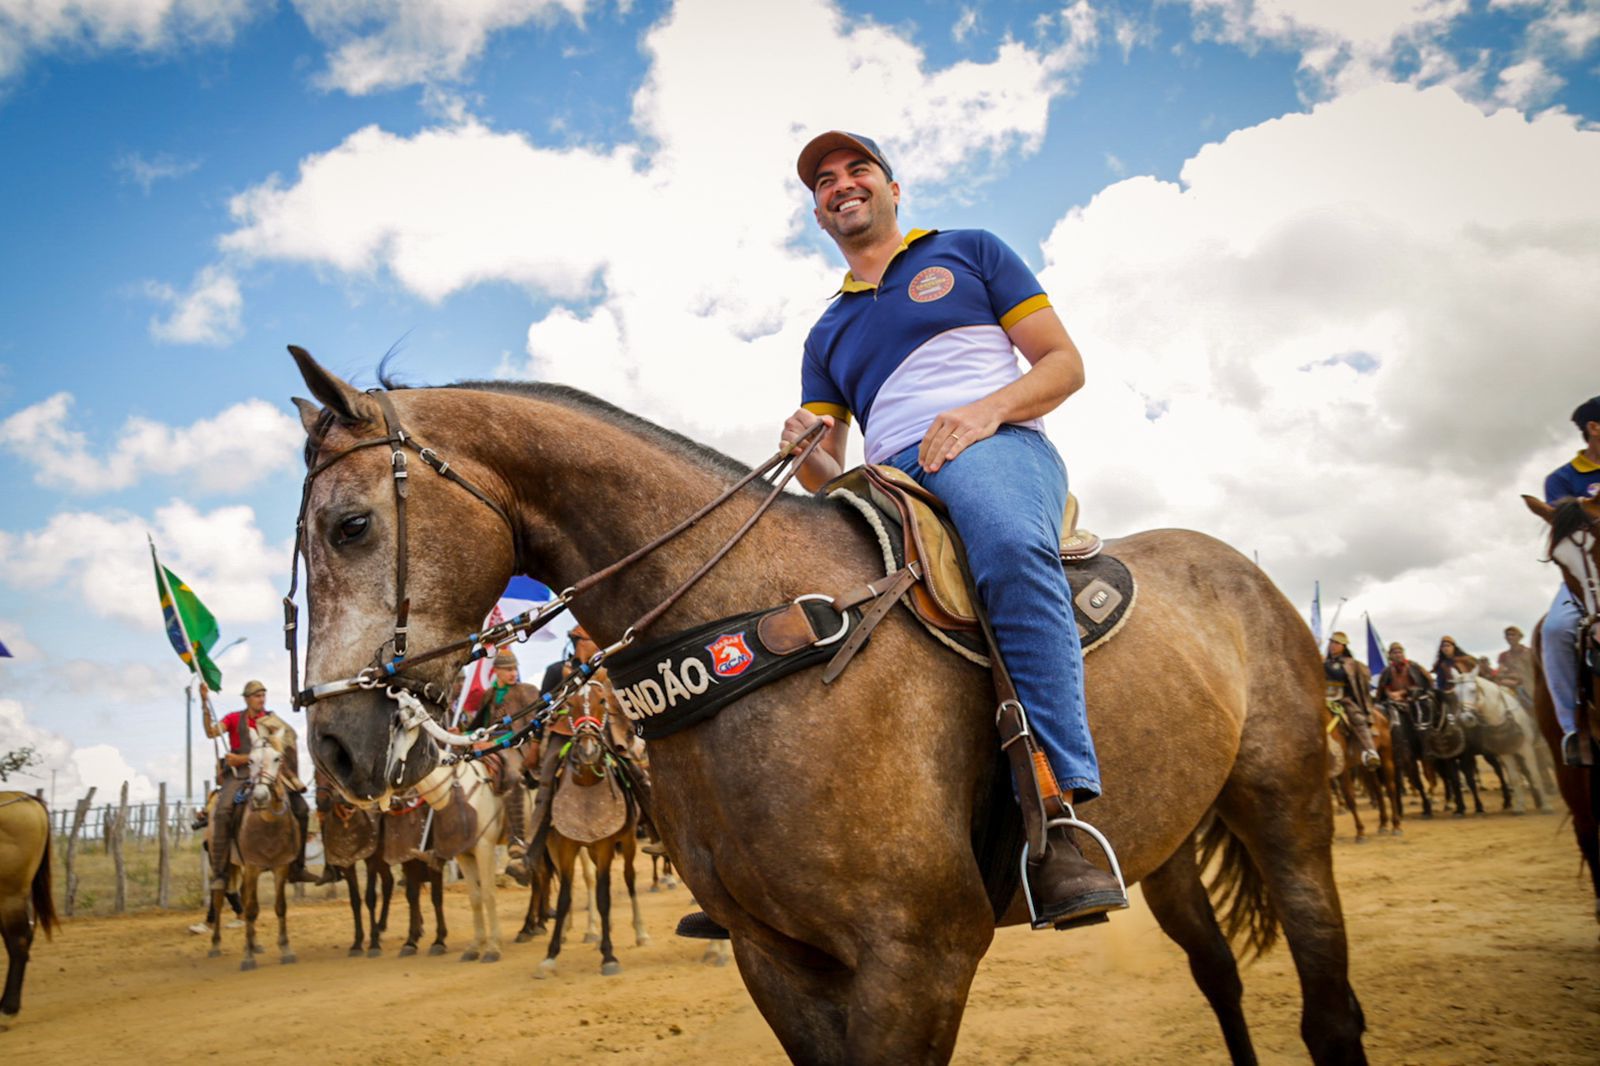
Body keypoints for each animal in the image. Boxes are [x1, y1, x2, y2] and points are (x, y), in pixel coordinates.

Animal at [294, 352, 1369, 1056]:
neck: (770, 631)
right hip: (1170, 838)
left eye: (350, 527)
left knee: (1328, 1008)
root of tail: (1245, 574)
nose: (337, 747)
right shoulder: (777, 959)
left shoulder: (919, 955)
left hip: (1287, 809)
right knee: (1218, 974)